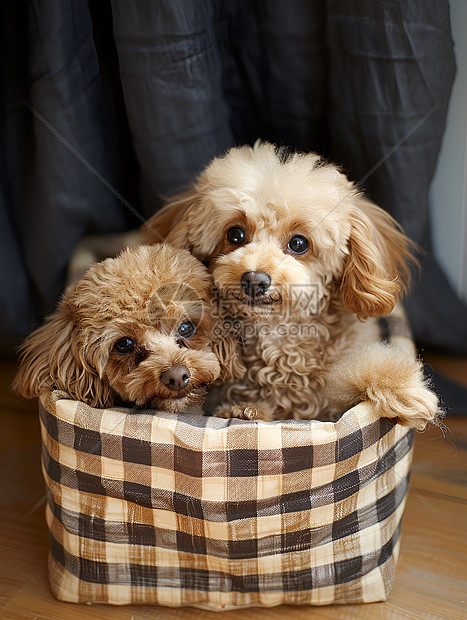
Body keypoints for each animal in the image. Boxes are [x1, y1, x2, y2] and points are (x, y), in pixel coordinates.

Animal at [144, 142, 440, 428]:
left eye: (299, 243)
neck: (278, 334)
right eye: (235, 234)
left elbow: (368, 366)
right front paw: (243, 411)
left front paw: (404, 392)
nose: (254, 280)